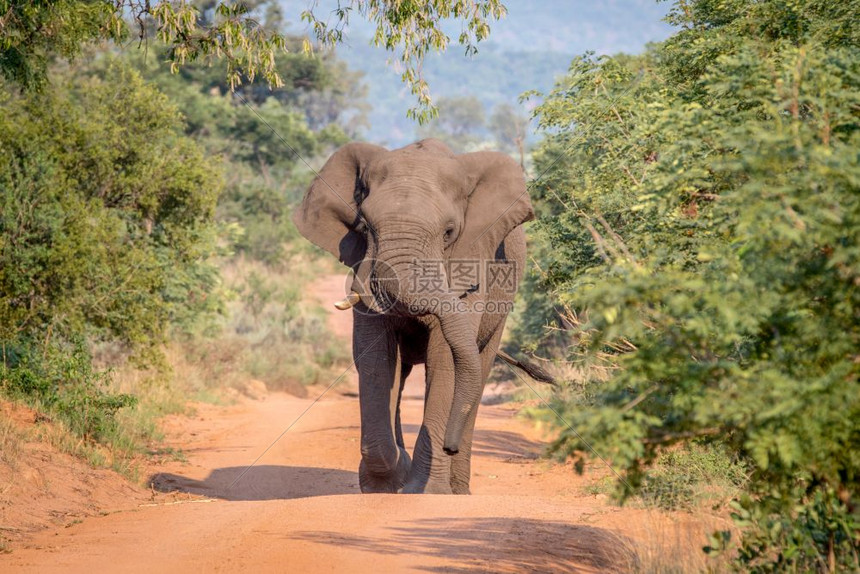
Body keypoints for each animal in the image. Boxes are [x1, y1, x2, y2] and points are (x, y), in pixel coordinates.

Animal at [296, 138, 536, 496]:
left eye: (449, 232)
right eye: (365, 227)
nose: (449, 446)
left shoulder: (472, 261)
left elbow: (445, 358)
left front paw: (428, 491)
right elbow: (376, 360)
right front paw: (385, 485)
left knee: (478, 370)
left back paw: (457, 490)